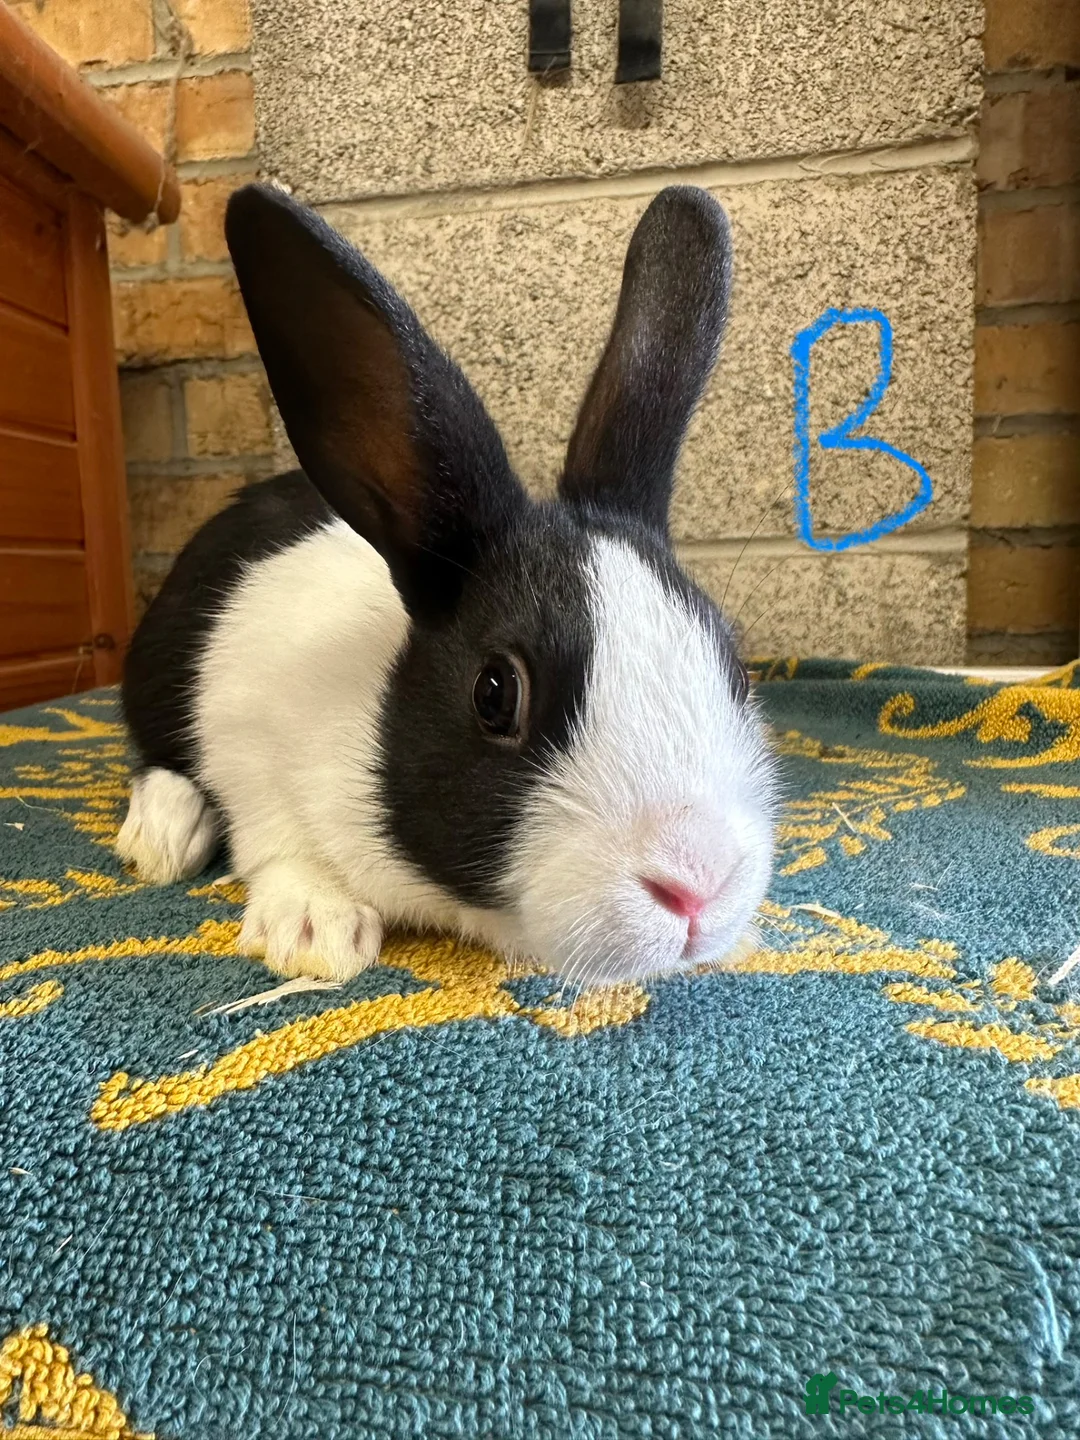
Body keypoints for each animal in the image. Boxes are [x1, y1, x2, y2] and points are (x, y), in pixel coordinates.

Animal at [116, 181, 779, 988]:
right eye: (496, 694)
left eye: (734, 667)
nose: (696, 886)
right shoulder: (246, 736)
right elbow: (278, 844)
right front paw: (316, 930)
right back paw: (162, 833)